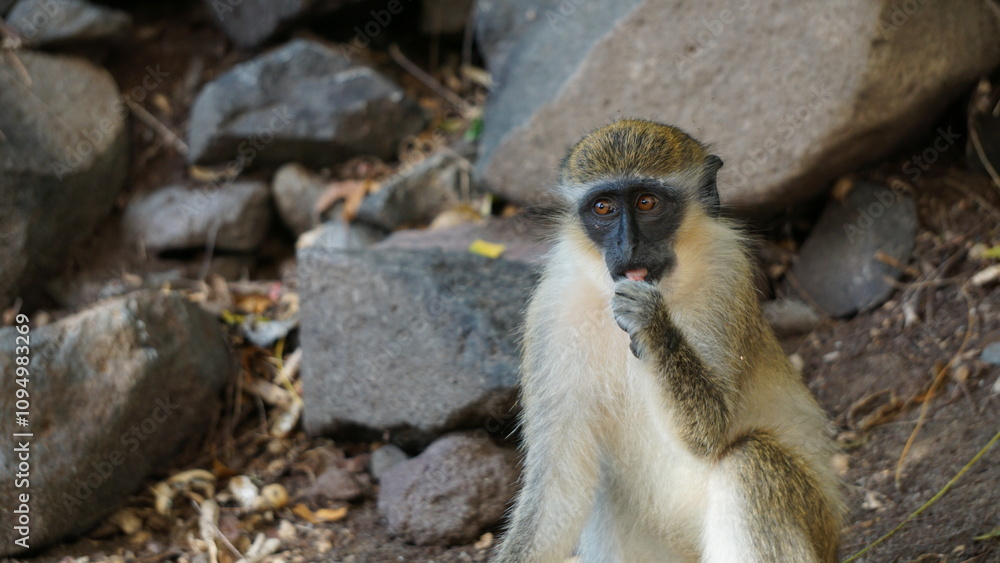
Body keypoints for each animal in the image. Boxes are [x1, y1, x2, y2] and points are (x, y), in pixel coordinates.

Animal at [493, 119, 843, 563]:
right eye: (603, 208)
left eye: (647, 202)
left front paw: (651, 323)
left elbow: (712, 431)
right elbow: (557, 489)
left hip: (816, 524)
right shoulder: (551, 310)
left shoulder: (725, 275)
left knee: (749, 461)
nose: (628, 246)